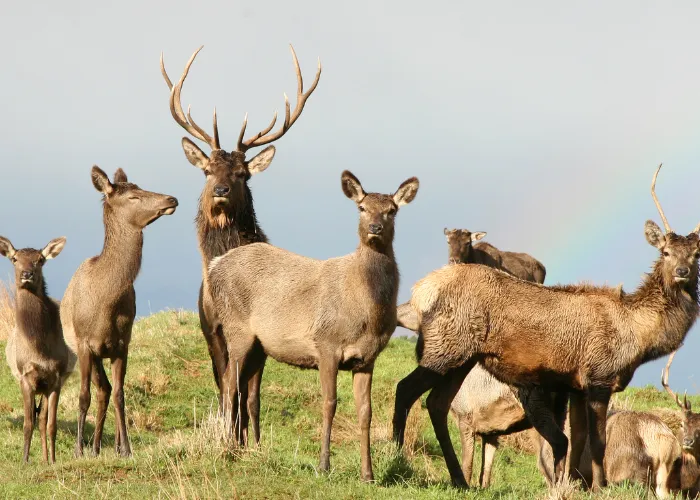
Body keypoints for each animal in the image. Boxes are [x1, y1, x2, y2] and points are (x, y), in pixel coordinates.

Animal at [0, 236, 74, 462]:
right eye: (14, 259)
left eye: (40, 260)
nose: (27, 274)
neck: (40, 349)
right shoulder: (25, 376)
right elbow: (27, 423)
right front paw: (24, 460)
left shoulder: (56, 378)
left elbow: (51, 425)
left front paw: (53, 460)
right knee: (36, 416)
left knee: (42, 419)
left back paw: (45, 458)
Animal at [60, 168, 178, 458]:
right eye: (134, 196)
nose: (171, 199)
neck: (105, 306)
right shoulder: (84, 343)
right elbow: (83, 396)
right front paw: (78, 449)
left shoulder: (123, 343)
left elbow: (120, 395)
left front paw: (125, 448)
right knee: (99, 390)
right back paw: (91, 446)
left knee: (106, 390)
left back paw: (102, 445)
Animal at [160, 46, 322, 446]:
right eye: (207, 170)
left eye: (242, 174)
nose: (220, 190)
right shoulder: (211, 331)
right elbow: (225, 388)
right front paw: (229, 436)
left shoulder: (260, 337)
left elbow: (251, 395)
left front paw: (252, 442)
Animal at [205, 171, 418, 480]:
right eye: (361, 208)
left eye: (392, 210)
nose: (375, 228)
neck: (366, 312)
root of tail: (214, 266)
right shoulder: (326, 344)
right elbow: (329, 403)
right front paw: (324, 465)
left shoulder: (367, 358)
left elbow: (365, 411)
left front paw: (368, 474)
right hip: (236, 327)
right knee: (229, 384)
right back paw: (229, 447)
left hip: (259, 345)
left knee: (245, 388)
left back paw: (250, 448)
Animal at [392, 163, 700, 488]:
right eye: (665, 252)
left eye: (696, 254)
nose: (682, 271)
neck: (639, 337)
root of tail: (420, 290)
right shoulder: (599, 377)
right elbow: (598, 442)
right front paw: (599, 487)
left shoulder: (576, 386)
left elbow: (577, 440)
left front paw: (573, 483)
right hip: (444, 347)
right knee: (406, 389)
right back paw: (397, 457)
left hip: (462, 357)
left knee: (437, 404)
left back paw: (459, 480)